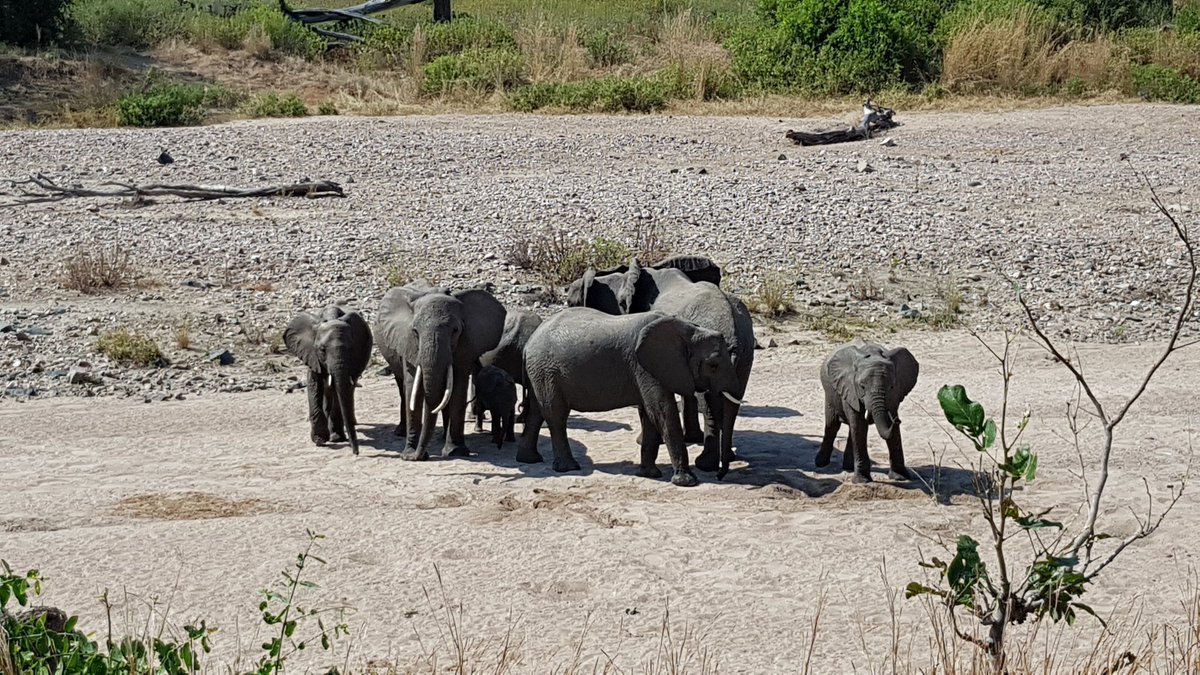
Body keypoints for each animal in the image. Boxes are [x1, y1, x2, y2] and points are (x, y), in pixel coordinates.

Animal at [283, 305, 373, 455]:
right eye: (322, 349)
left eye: (351, 349)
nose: (356, 453)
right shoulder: (311, 354)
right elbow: (314, 385)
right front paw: (320, 440)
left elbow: (339, 392)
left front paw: (336, 439)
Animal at [375, 280, 506, 461]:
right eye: (415, 331)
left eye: (455, 330)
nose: (418, 456)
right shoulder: (407, 343)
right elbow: (412, 388)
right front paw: (408, 455)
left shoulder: (465, 345)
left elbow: (458, 389)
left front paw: (455, 452)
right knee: (402, 388)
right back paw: (401, 432)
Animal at [517, 308, 742, 487]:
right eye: (713, 365)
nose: (719, 476)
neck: (688, 330)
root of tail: (529, 343)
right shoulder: (645, 368)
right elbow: (662, 411)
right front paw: (686, 482)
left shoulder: (647, 370)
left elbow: (650, 415)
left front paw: (650, 475)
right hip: (547, 372)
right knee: (556, 416)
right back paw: (569, 468)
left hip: (539, 373)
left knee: (536, 413)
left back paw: (530, 460)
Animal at [816, 340, 920, 482]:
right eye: (862, 386)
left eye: (892, 387)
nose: (897, 420)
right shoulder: (850, 389)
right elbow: (859, 426)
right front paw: (862, 481)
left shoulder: (895, 394)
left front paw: (900, 478)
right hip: (830, 392)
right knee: (833, 425)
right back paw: (821, 464)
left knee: (850, 428)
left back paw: (848, 467)